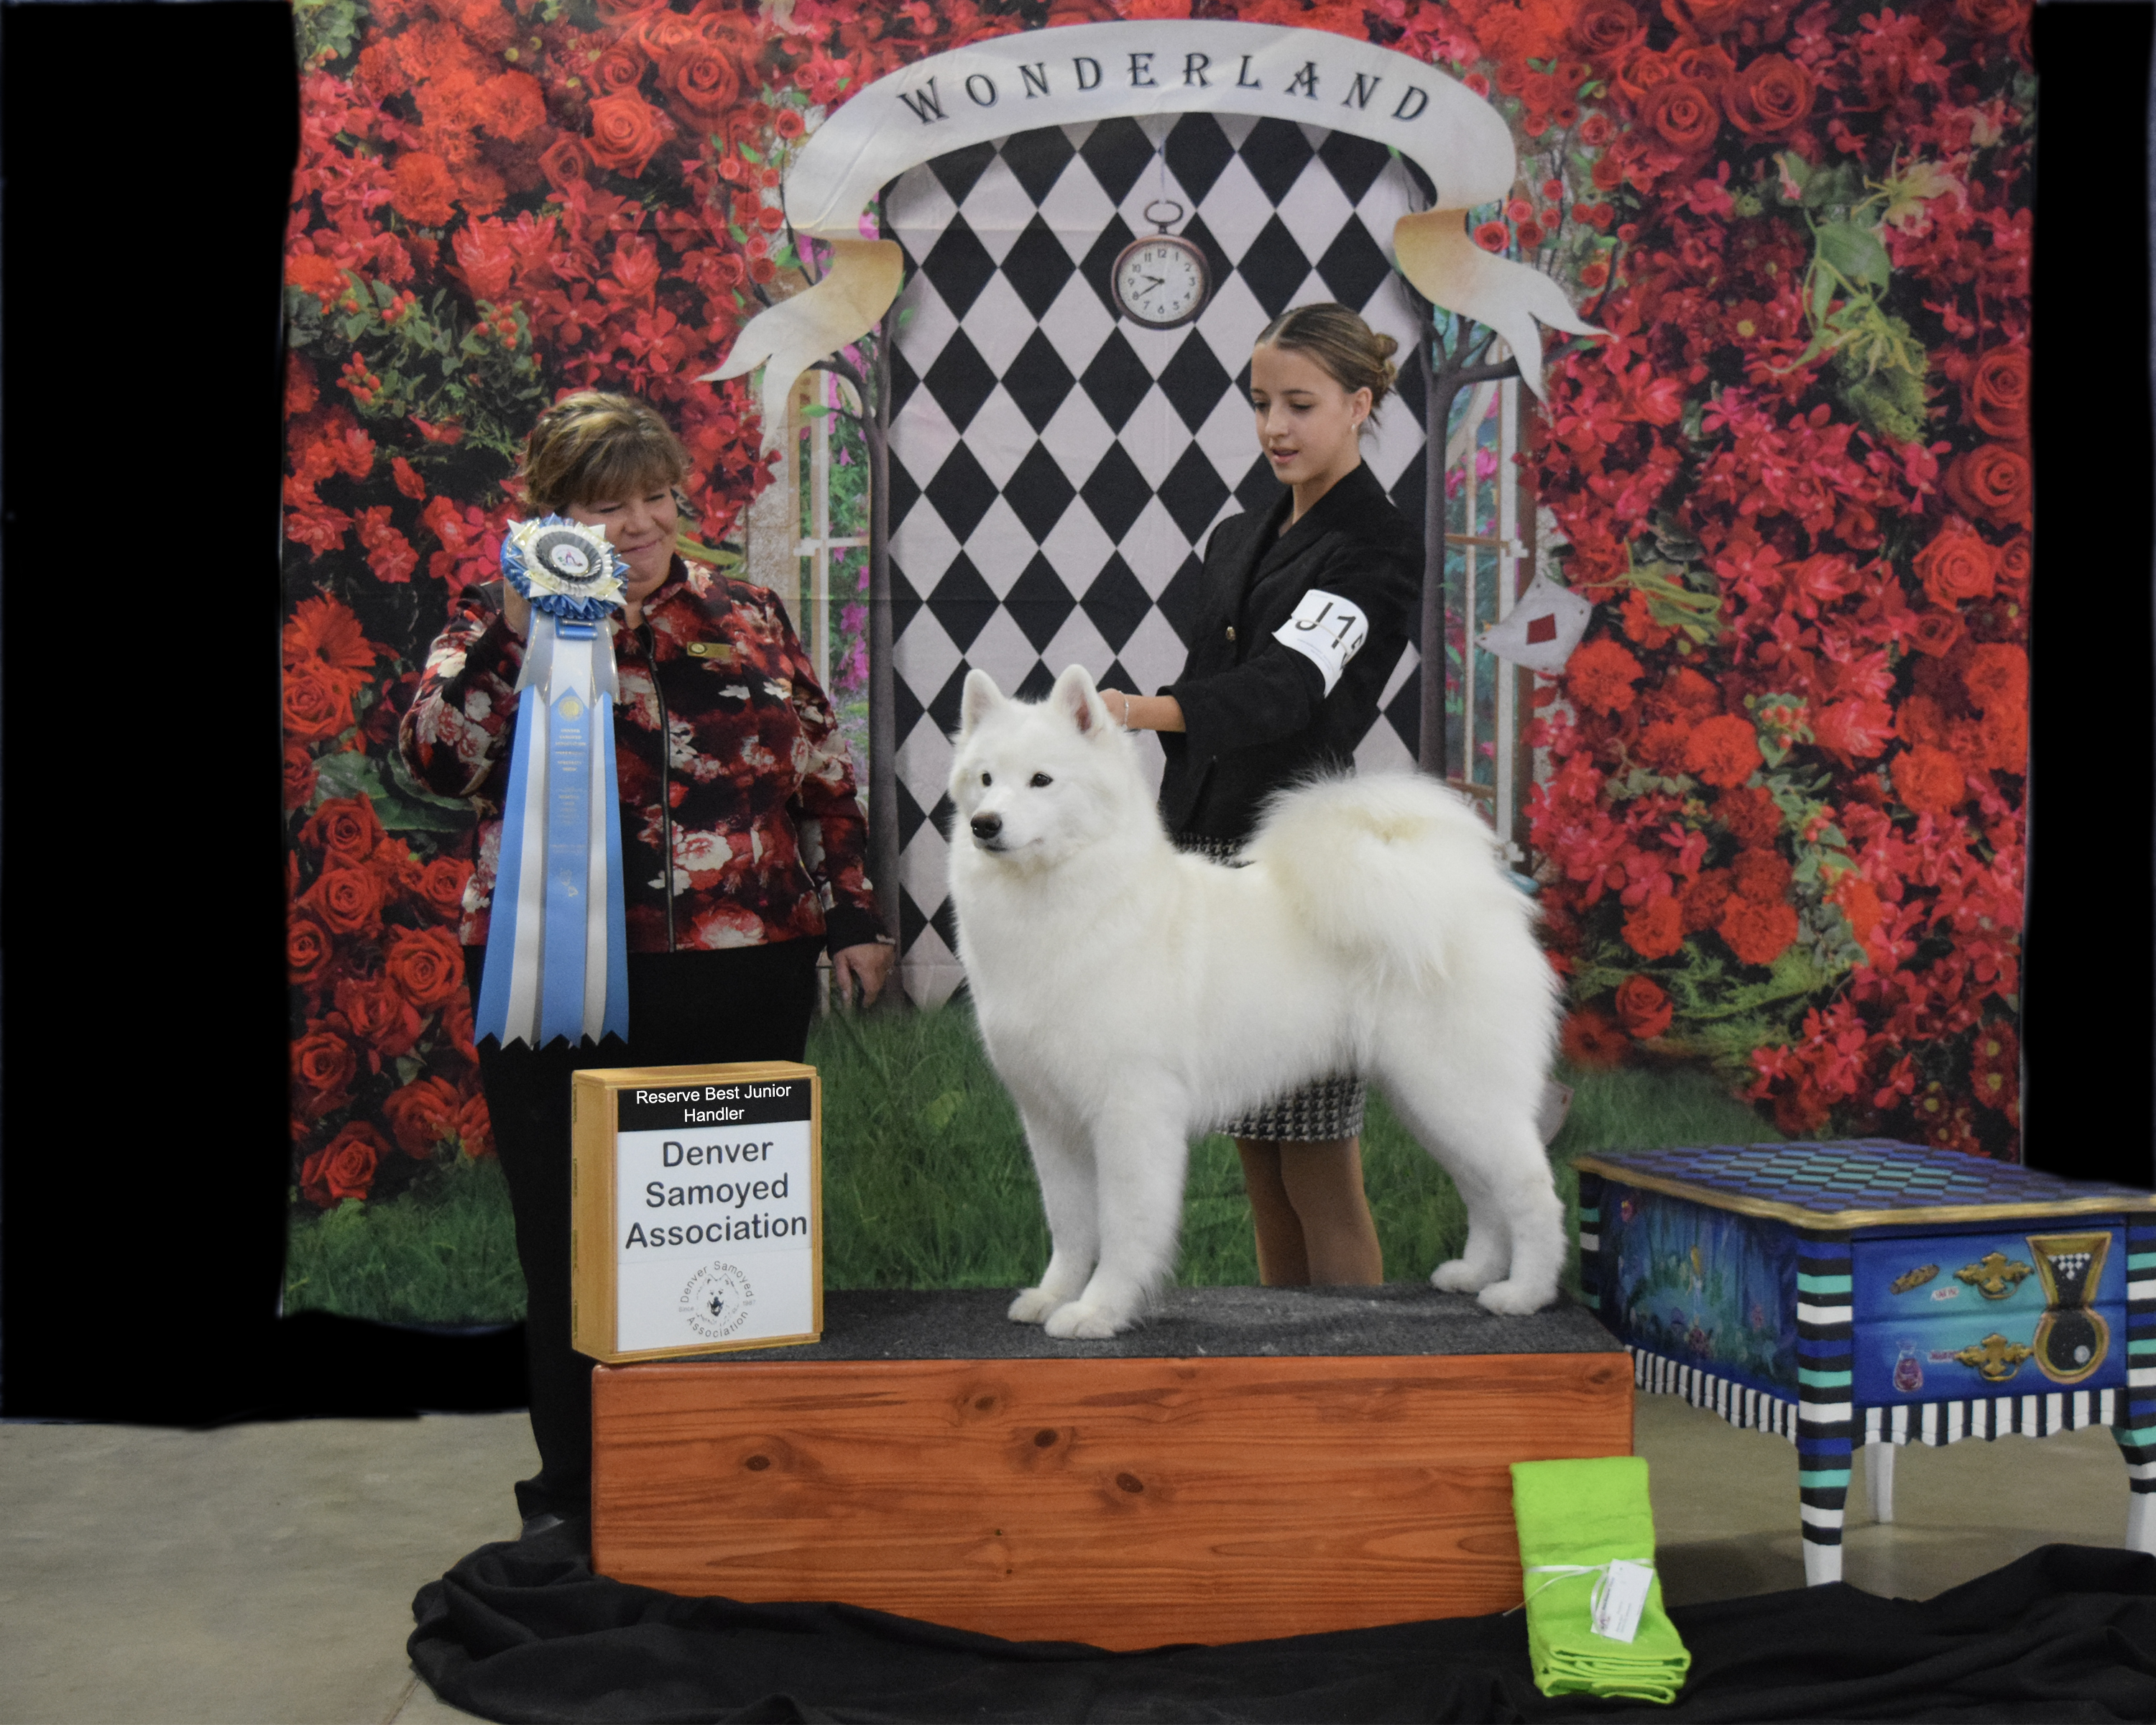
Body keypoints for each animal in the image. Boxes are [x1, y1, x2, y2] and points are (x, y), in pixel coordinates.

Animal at [946, 664, 1567, 1340]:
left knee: (1532, 1189)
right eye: (985, 780)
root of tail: (1476, 890)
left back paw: (1525, 1293)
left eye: (1041, 780)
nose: (984, 824)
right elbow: (1070, 1223)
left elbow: (1124, 1226)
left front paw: (1099, 1310)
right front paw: (1053, 1296)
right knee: (1483, 1192)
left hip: (1459, 1090)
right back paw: (1476, 1273)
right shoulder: (1049, 1117)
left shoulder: (1131, 1110)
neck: (1066, 907)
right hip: (1428, 1101)